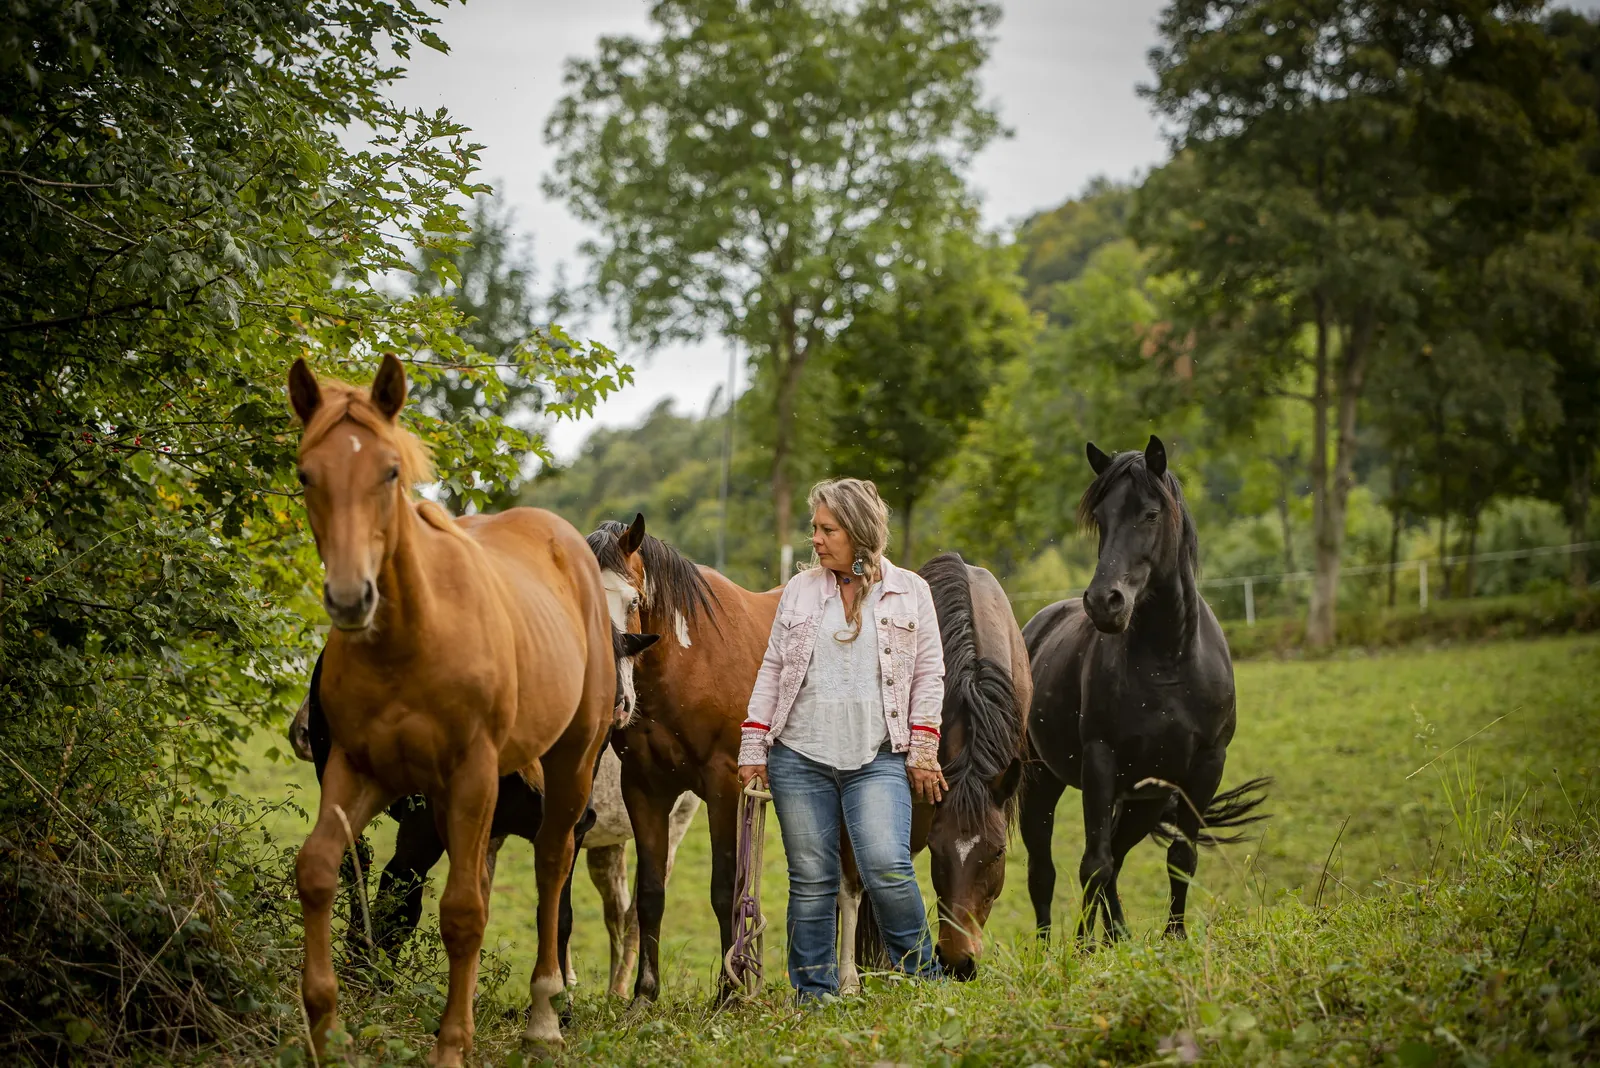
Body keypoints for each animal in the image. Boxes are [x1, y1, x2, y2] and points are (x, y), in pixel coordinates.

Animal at [286, 354, 612, 1064]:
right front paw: (327, 1028)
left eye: (390, 471)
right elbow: (322, 870)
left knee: (551, 864)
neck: (412, 641)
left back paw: (544, 1014)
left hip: (569, 763)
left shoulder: (471, 776)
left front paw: (451, 1046)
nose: (350, 598)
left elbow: (462, 912)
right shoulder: (358, 771)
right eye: (305, 474)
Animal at [287, 625, 694, 997]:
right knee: (360, 864)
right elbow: (402, 900)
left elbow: (557, 917)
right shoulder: (424, 829)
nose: (300, 734)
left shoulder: (566, 833)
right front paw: (373, 984)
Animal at [586, 515, 782, 1003]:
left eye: (634, 600)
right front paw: (644, 992)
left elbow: (726, 889)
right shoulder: (644, 789)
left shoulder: (725, 785)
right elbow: (650, 894)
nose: (615, 700)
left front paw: (729, 992)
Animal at [1018, 436, 1270, 943]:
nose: (1103, 602)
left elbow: (1180, 859)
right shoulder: (1100, 758)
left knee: (1116, 856)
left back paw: (1119, 938)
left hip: (1143, 800)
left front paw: (1174, 940)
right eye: (1101, 517)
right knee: (1045, 871)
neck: (1169, 660)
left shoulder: (1204, 767)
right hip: (1041, 783)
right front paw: (1082, 950)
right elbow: (1093, 865)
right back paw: (1050, 946)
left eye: (1151, 514)